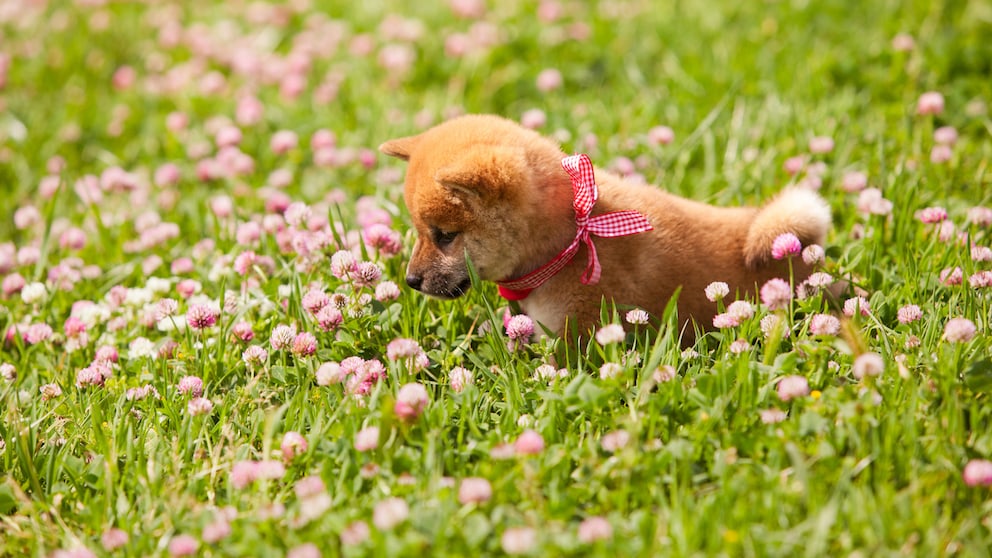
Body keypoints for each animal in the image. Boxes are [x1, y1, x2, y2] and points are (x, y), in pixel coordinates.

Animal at [380, 114, 828, 342]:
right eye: (420, 231)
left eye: (445, 235)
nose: (411, 280)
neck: (568, 241)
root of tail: (802, 248)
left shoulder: (581, 332)